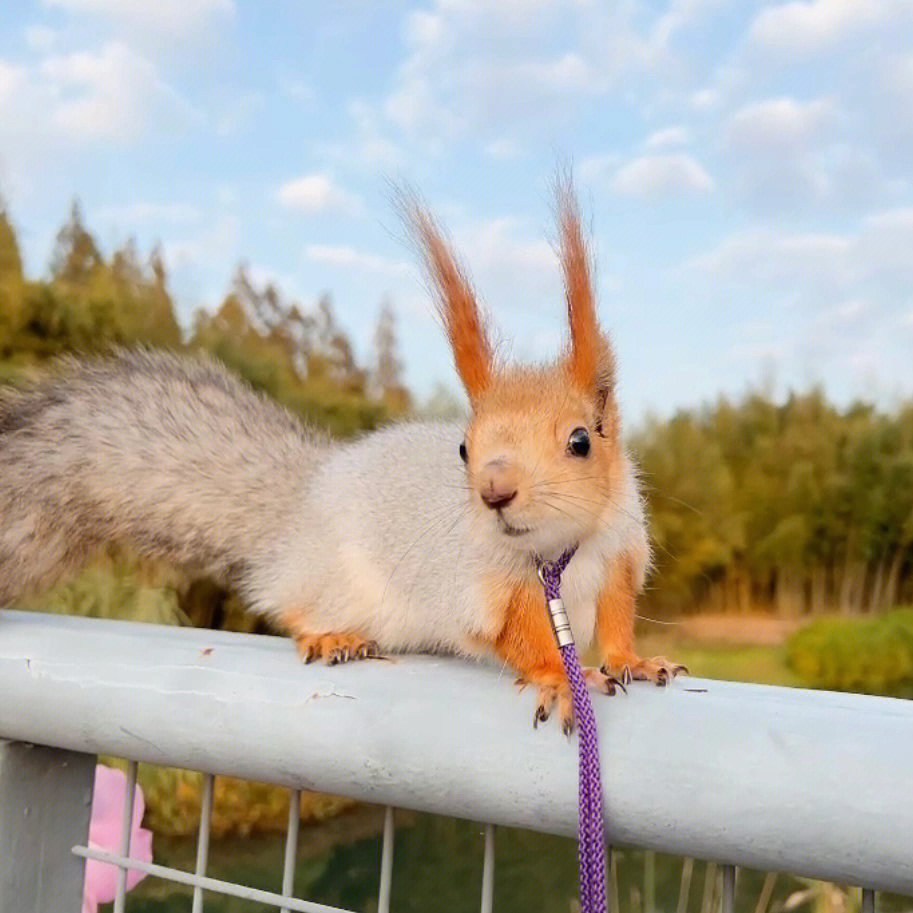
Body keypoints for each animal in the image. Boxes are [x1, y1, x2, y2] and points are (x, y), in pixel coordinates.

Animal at [0, 183, 680, 728]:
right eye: (464, 447)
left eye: (581, 440)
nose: (495, 492)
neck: (561, 553)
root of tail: (304, 502)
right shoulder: (483, 585)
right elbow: (518, 638)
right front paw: (560, 678)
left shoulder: (619, 556)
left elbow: (616, 621)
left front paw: (635, 661)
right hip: (331, 577)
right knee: (287, 601)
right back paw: (329, 636)